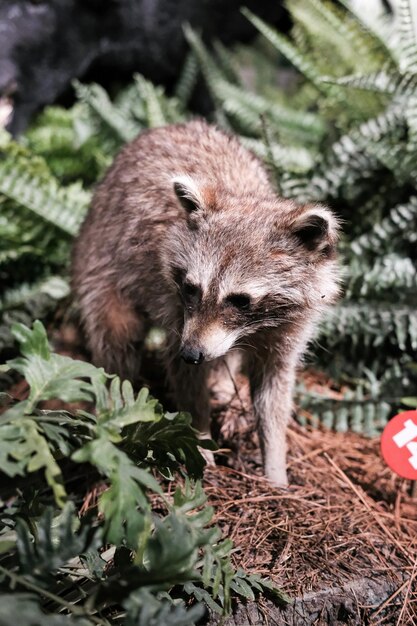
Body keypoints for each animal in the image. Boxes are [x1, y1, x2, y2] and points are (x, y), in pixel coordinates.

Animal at [71, 119, 340, 486]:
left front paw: (275, 462)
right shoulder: (174, 306)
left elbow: (274, 389)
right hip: (99, 260)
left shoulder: (290, 325)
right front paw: (199, 436)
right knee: (115, 334)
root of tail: (170, 126)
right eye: (191, 289)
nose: (192, 353)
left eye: (240, 300)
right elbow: (184, 378)